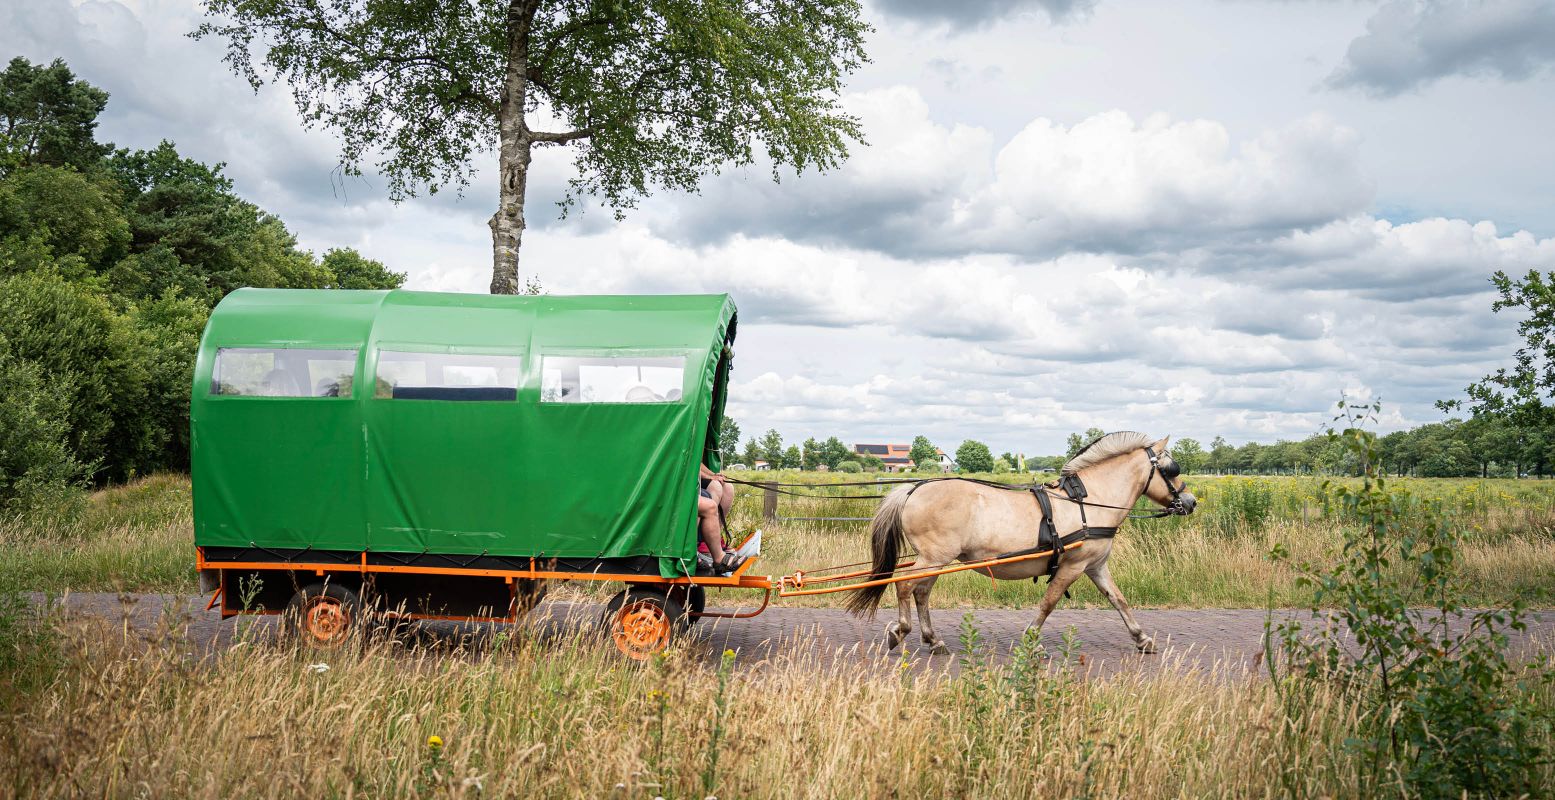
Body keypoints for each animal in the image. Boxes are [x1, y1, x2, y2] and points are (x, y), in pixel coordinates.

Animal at [845, 432, 1194, 650]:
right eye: (1172, 469)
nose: (1190, 502)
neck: (1088, 502)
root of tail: (913, 489)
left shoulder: (1095, 566)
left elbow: (1118, 600)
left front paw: (1142, 638)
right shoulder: (1073, 565)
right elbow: (1049, 602)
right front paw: (1030, 638)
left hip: (936, 560)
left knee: (921, 592)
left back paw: (933, 640)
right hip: (934, 557)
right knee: (905, 587)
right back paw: (900, 631)